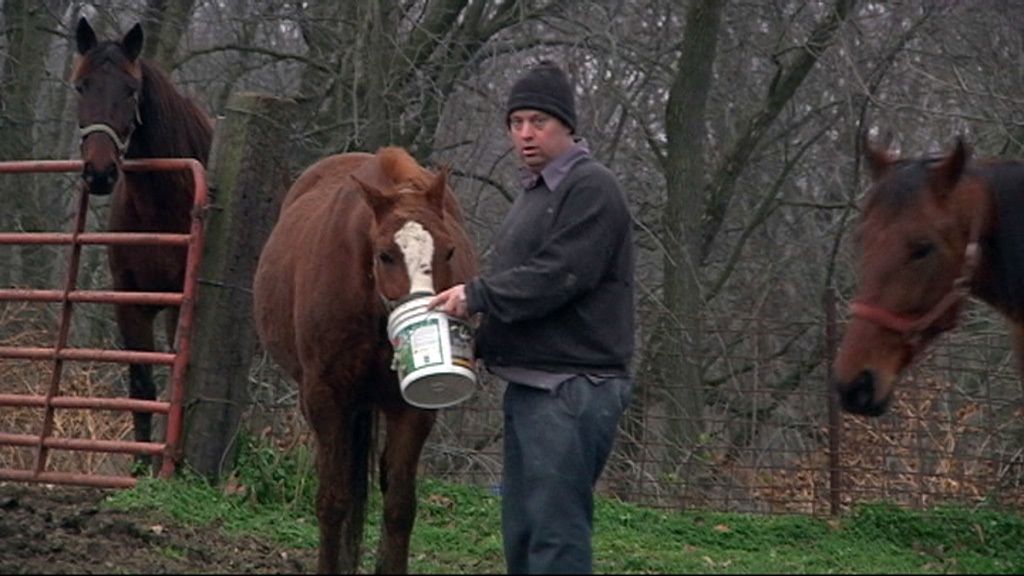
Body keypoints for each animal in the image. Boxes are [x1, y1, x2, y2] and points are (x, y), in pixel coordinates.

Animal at [74, 17, 216, 461]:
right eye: (80, 86)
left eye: (130, 90)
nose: (100, 173)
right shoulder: (130, 301)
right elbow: (142, 387)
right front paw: (139, 466)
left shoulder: (179, 307)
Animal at [256, 146, 479, 569]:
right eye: (386, 255)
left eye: (449, 250)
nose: (427, 309)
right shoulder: (324, 398)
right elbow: (333, 501)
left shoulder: (412, 408)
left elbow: (399, 508)